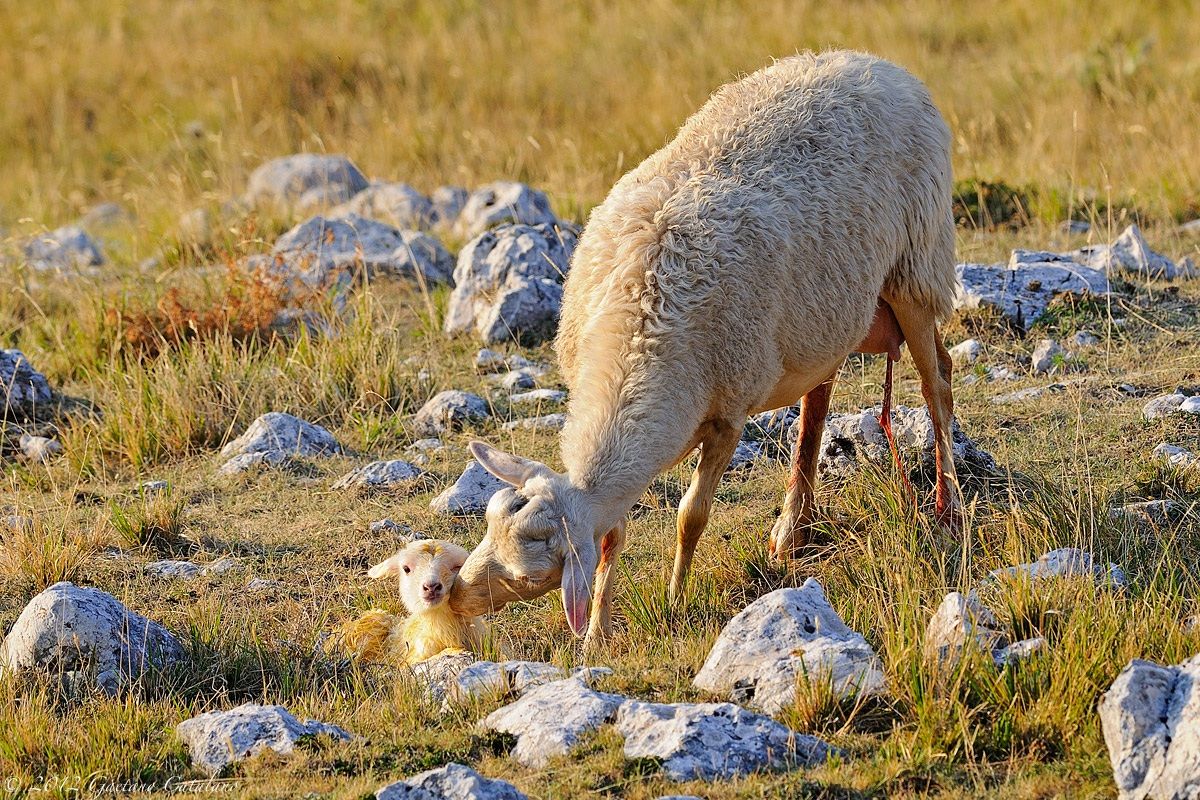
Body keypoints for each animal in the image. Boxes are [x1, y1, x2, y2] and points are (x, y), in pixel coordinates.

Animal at [448, 51, 961, 642]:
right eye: (489, 522)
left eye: (529, 573)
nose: (454, 593)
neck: (637, 340)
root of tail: (877, 63)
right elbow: (612, 535)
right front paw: (599, 626)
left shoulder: (728, 414)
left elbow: (690, 515)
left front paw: (674, 598)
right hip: (826, 316)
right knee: (817, 402)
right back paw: (793, 528)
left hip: (916, 268)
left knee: (938, 382)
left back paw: (948, 508)